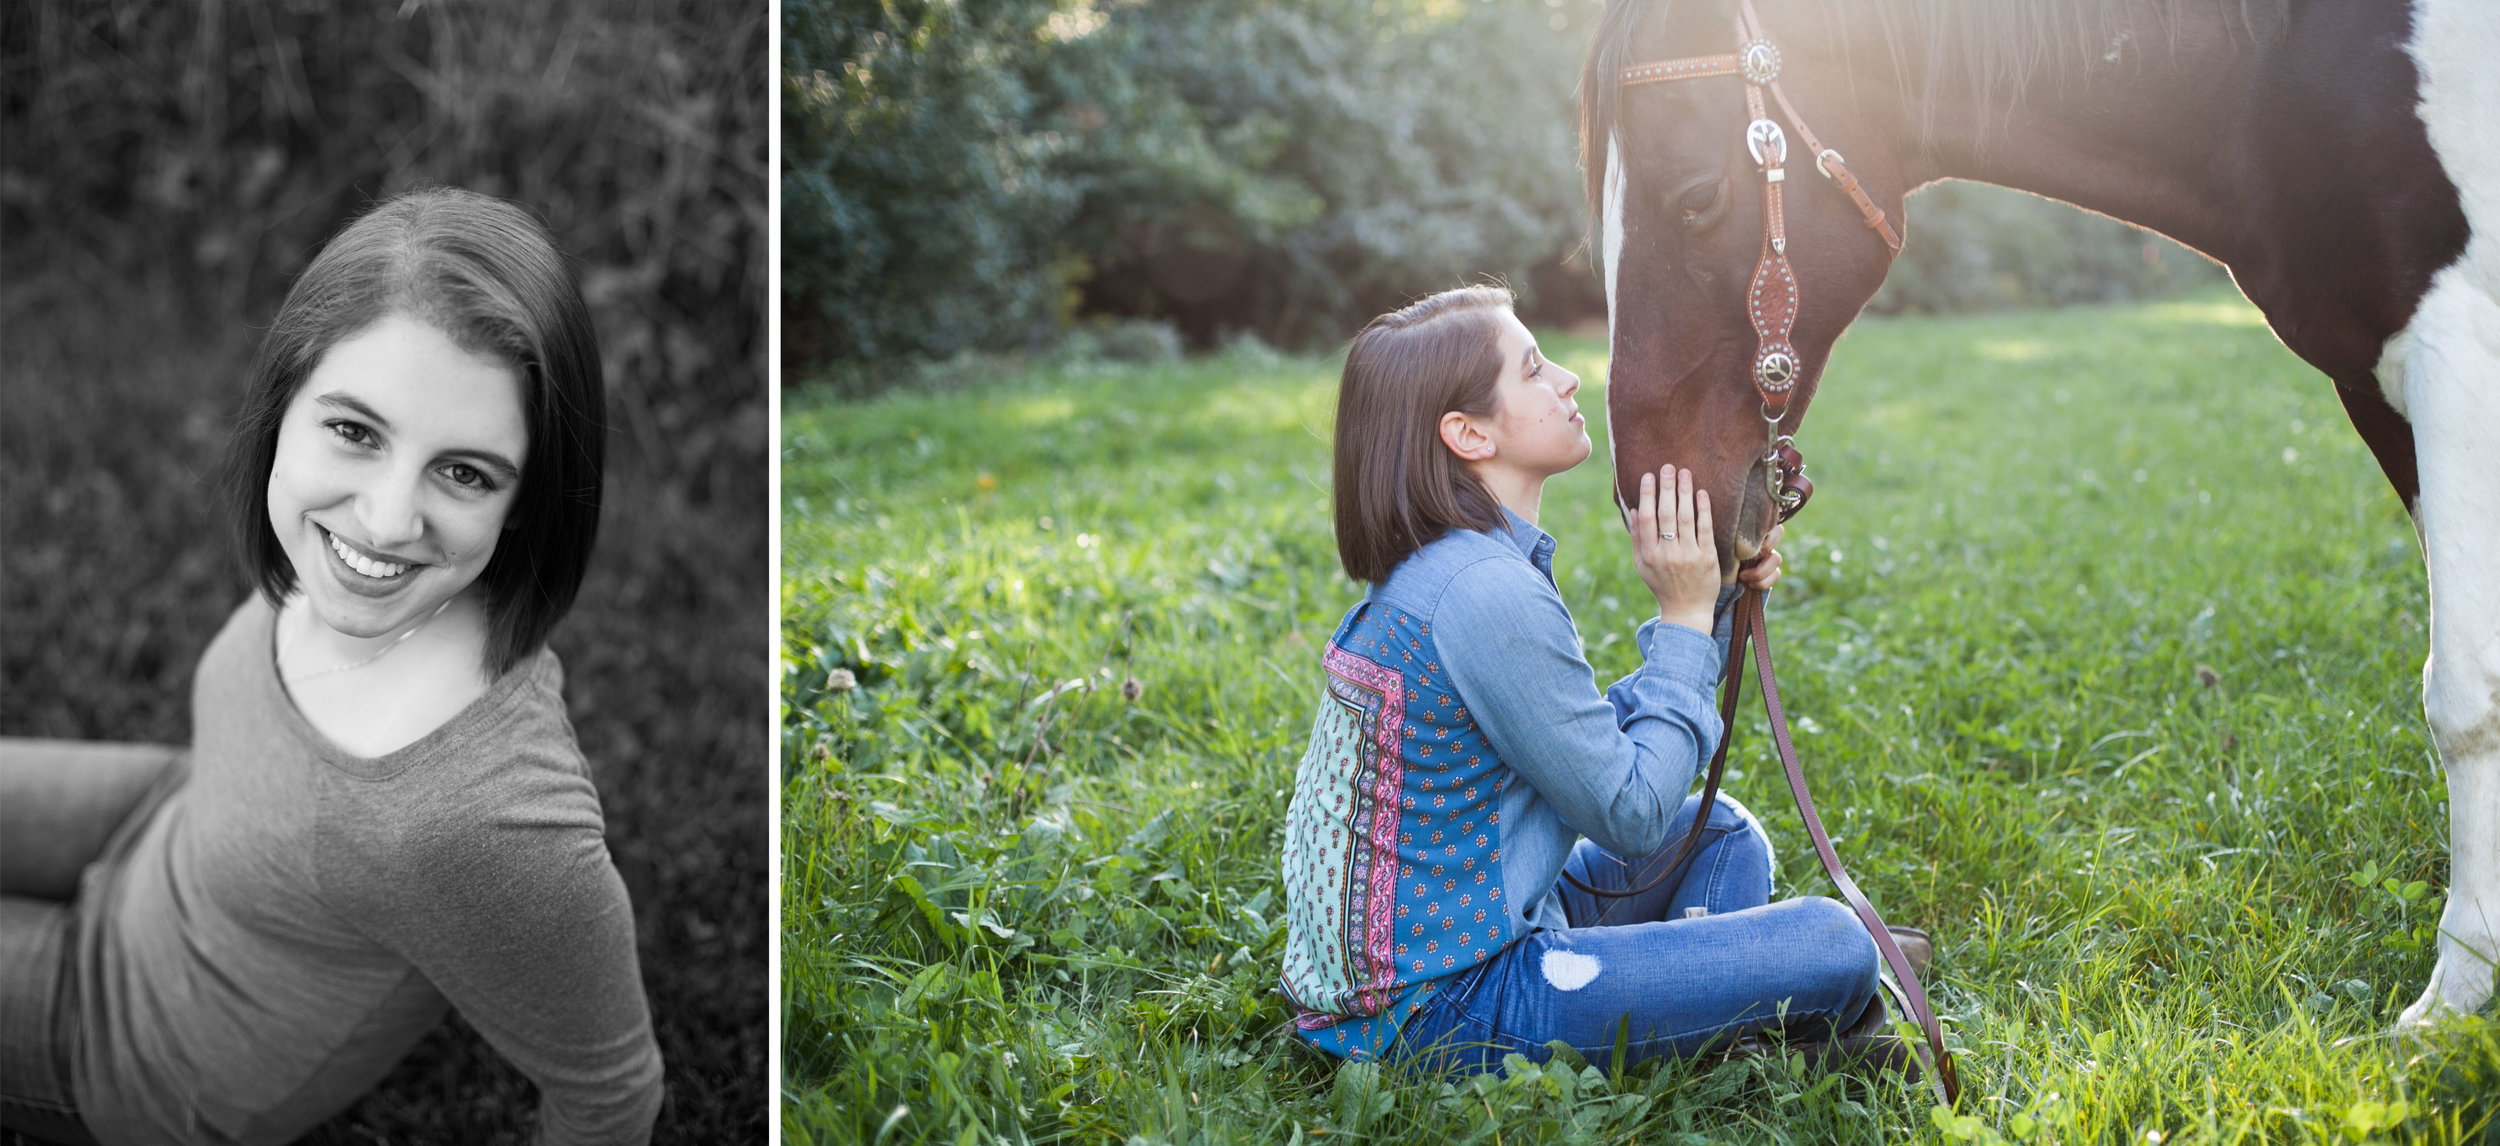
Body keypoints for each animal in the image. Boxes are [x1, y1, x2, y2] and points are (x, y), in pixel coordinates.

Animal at [1580, 0, 2500, 1025]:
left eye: (1697, 197)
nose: (1649, 497)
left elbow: (2465, 693)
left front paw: (2457, 998)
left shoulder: (2454, 351)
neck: (2279, 65)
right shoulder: (2376, 379)